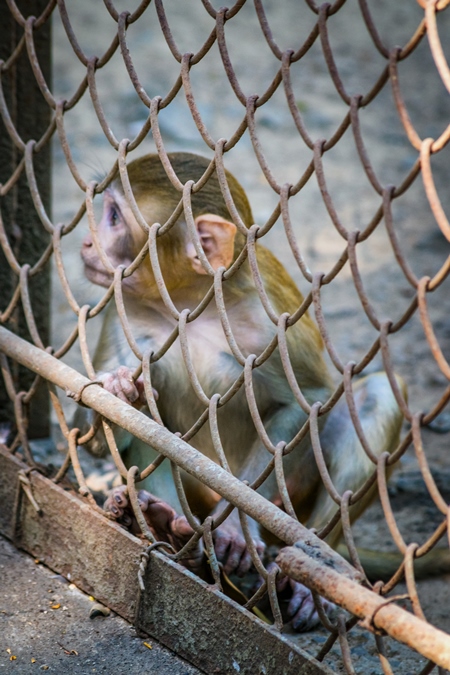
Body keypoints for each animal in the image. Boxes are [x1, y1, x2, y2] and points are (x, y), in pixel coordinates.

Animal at [77, 152, 404, 628]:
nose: (86, 242)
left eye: (115, 216)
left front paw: (234, 526)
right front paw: (119, 389)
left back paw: (315, 576)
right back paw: (156, 520)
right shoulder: (127, 312)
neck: (191, 302)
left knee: (376, 392)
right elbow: (115, 420)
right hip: (196, 495)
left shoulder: (271, 320)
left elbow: (306, 403)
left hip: (294, 502)